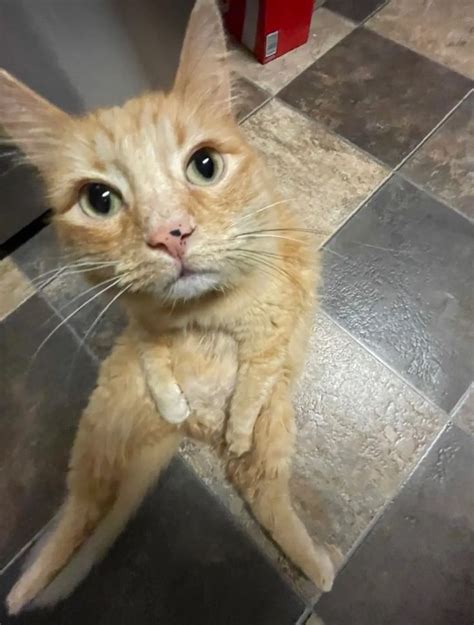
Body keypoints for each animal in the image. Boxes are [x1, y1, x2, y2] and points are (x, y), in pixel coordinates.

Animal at [0, 0, 334, 616]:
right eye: (99, 199)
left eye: (204, 165)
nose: (169, 234)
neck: (198, 315)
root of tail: (188, 440)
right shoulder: (142, 329)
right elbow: (156, 357)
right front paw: (174, 394)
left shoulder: (275, 325)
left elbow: (252, 376)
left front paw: (236, 419)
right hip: (100, 432)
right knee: (78, 513)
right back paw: (25, 590)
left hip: (273, 433)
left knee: (260, 492)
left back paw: (314, 565)